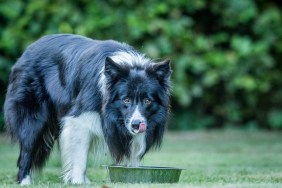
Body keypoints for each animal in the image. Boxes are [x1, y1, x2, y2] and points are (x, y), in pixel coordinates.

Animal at [3, 34, 172, 185]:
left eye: (147, 100)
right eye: (126, 99)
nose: (136, 125)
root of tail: (27, 50)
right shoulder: (79, 118)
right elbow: (79, 155)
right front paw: (78, 181)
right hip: (32, 116)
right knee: (26, 150)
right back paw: (24, 181)